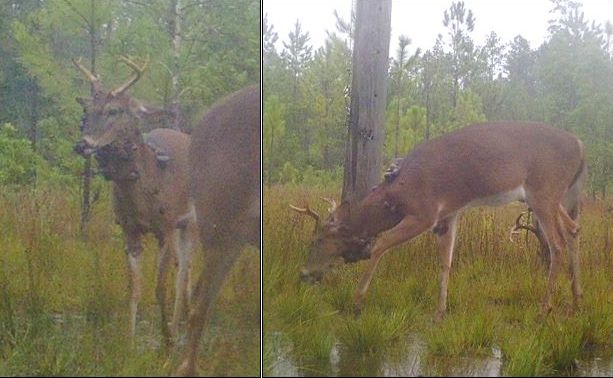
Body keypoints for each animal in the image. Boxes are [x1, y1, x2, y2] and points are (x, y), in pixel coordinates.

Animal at [72, 54, 195, 346]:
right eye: (86, 112)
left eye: (114, 111)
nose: (82, 144)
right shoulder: (129, 230)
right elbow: (134, 288)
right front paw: (129, 341)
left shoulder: (166, 227)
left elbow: (160, 286)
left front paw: (167, 338)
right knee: (184, 270)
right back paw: (182, 323)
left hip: (194, 221)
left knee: (185, 271)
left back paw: (180, 329)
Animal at [290, 122, 584, 322]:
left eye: (317, 239)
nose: (303, 273)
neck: (397, 193)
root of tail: (581, 146)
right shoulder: (447, 216)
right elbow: (446, 262)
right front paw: (440, 312)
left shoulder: (424, 212)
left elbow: (380, 245)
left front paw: (357, 301)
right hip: (553, 197)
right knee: (573, 229)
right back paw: (577, 300)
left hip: (543, 191)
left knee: (556, 245)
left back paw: (544, 308)